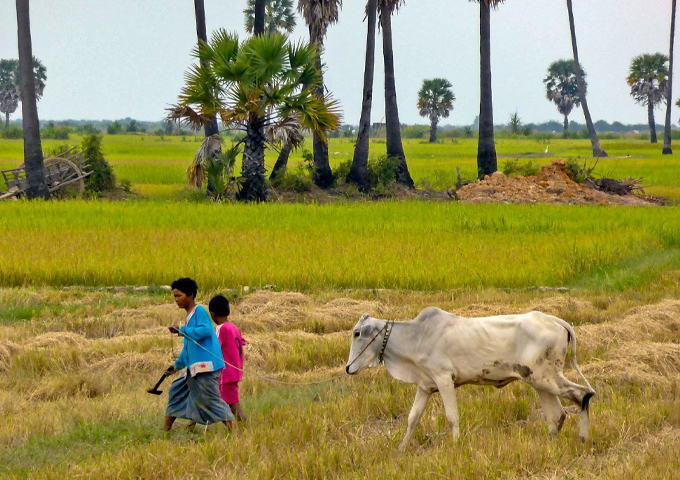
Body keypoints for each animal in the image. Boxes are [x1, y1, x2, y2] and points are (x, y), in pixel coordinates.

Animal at [346, 308, 596, 450]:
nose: (348, 368)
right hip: (538, 380)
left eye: (357, 333)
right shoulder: (425, 386)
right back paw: (550, 444)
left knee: (582, 394)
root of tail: (553, 320)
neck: (417, 336)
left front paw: (456, 447)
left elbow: (452, 417)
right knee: (557, 415)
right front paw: (401, 448)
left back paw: (583, 439)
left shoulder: (444, 379)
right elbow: (412, 418)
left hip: (546, 378)